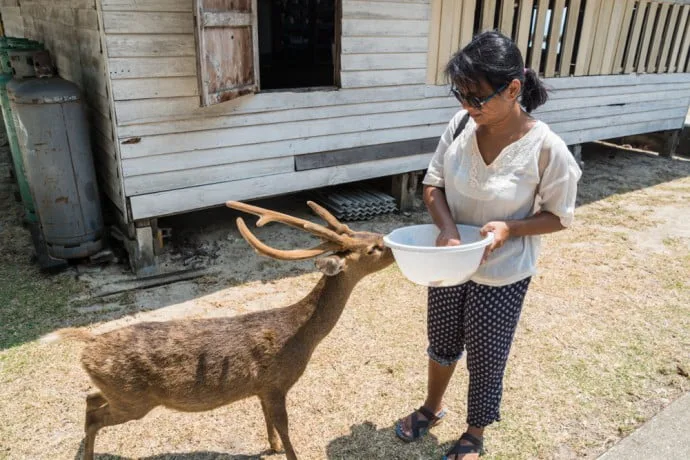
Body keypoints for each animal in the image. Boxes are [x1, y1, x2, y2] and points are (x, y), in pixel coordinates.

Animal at [41, 200, 395, 460]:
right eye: (373, 248)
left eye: (373, 236)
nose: (391, 246)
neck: (299, 335)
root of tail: (89, 343)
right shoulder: (277, 384)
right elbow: (285, 428)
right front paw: (286, 451)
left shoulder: (261, 388)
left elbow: (268, 422)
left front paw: (271, 447)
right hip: (134, 399)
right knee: (94, 418)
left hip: (119, 392)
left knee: (89, 399)